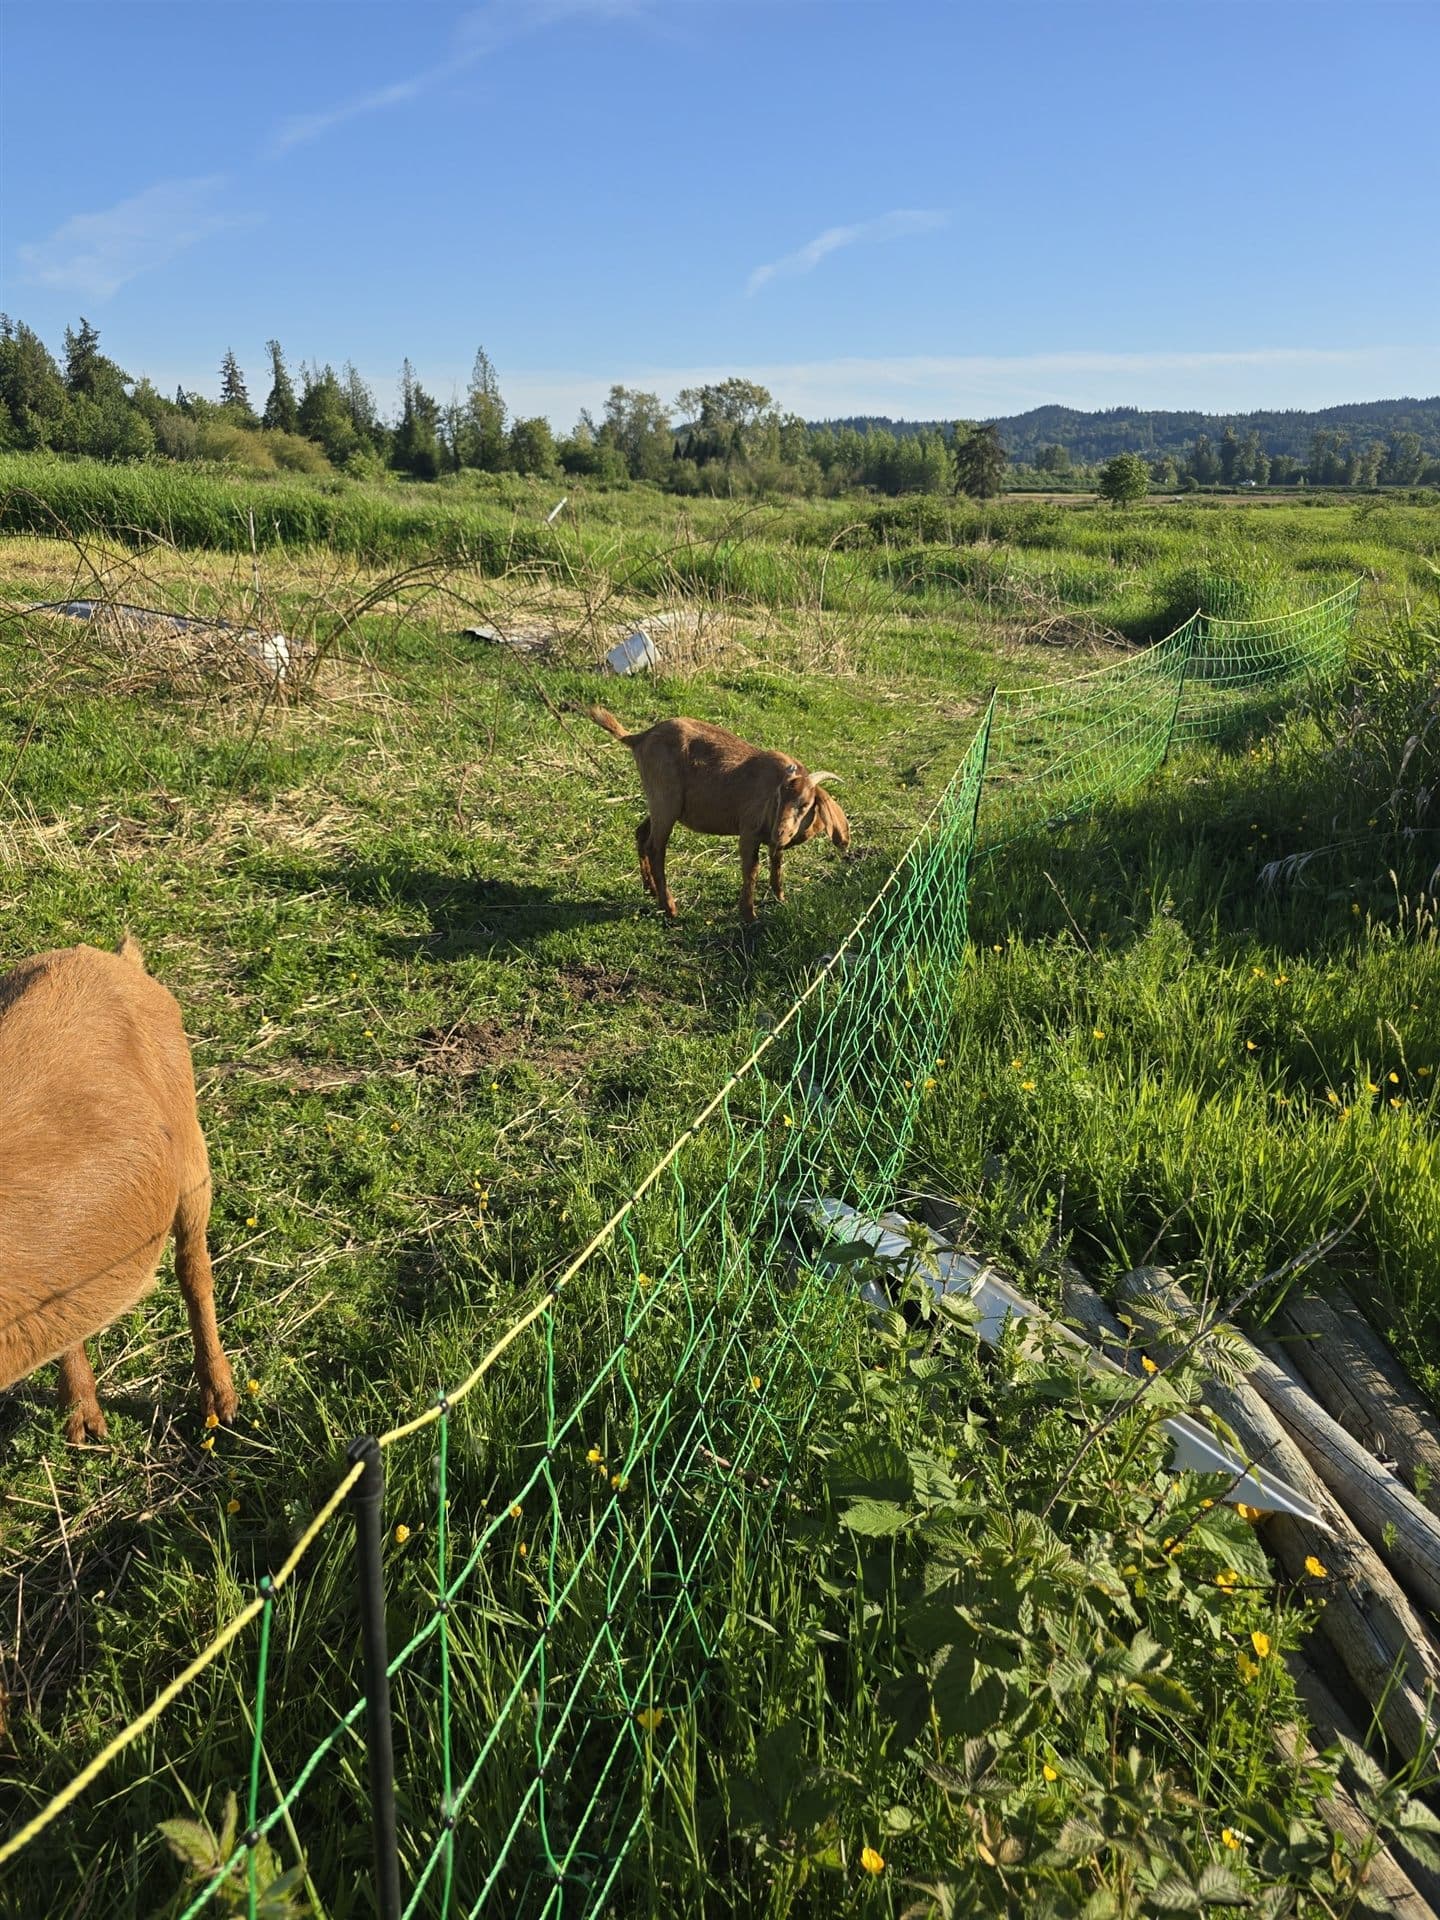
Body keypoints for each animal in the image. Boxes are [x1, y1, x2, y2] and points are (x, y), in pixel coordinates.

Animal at [582, 706, 849, 921]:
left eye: (804, 804)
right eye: (778, 798)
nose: (780, 832)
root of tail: (640, 737)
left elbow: (777, 863)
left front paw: (780, 897)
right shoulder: (749, 831)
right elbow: (751, 869)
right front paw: (749, 915)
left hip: (659, 803)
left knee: (641, 833)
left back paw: (651, 889)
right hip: (665, 800)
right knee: (655, 847)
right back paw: (669, 907)